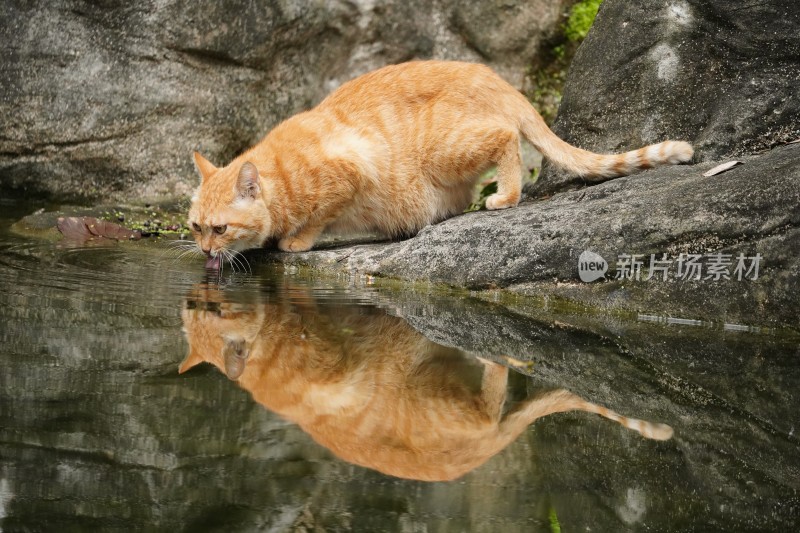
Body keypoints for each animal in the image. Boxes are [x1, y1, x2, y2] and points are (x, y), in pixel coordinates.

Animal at [189, 59, 692, 264]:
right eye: (195, 227)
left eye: (220, 229)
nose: (205, 252)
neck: (281, 174)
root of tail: (495, 78)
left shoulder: (350, 173)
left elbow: (318, 218)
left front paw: (296, 240)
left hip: (448, 146)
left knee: (507, 139)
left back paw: (506, 196)